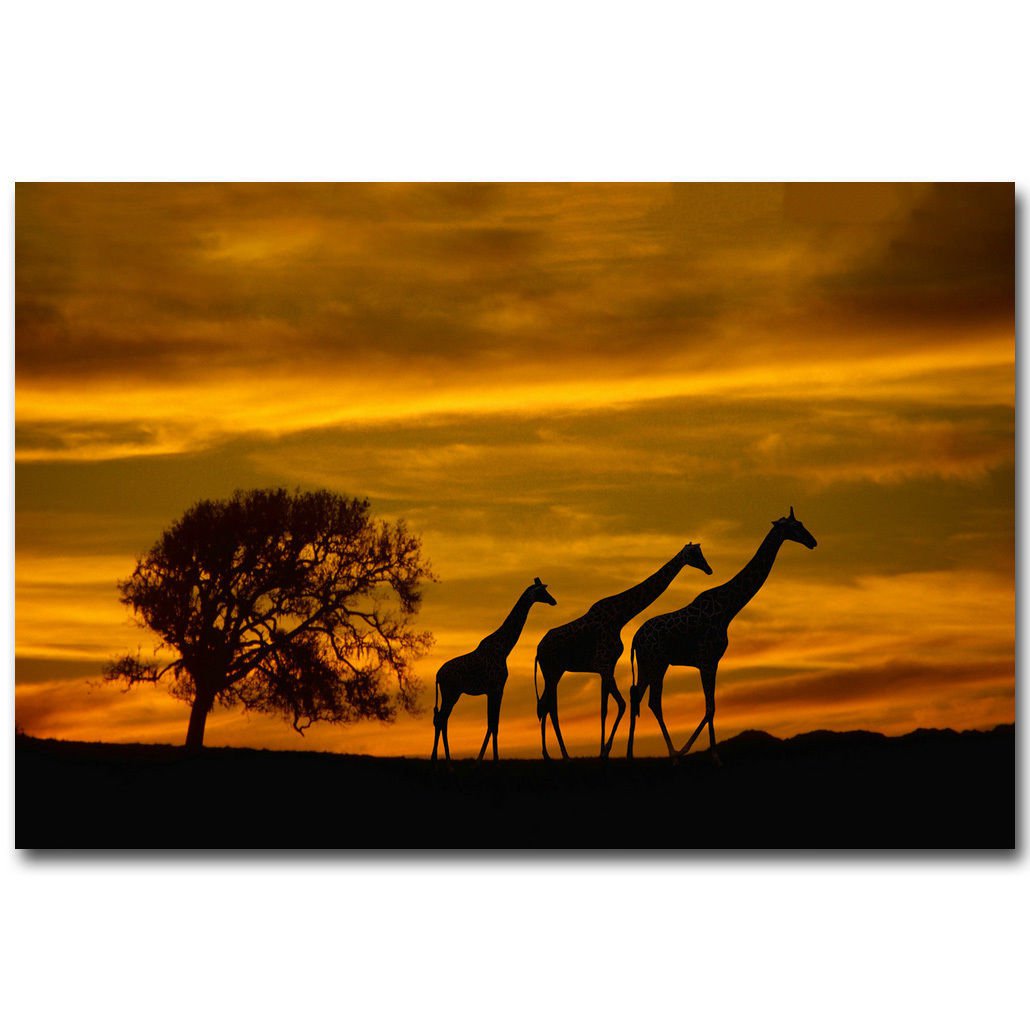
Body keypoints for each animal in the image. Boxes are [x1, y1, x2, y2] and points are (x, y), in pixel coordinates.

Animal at [431, 577, 557, 762]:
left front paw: (481, 760)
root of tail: (437, 676)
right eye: (543, 591)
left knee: (441, 719)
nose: (553, 601)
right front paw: (494, 761)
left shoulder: (492, 691)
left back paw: (442, 761)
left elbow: (492, 724)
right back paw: (443, 762)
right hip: (451, 693)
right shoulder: (497, 688)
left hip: (451, 694)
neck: (504, 648)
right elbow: (494, 725)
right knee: (441, 720)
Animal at [534, 542, 712, 759]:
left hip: (555, 672)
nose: (709, 569)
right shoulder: (604, 665)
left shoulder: (606, 667)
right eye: (694, 554)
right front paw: (604, 751)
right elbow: (615, 706)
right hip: (551, 671)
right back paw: (560, 754)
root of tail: (538, 650)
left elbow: (608, 707)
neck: (620, 617)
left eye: (701, 553)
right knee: (549, 706)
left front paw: (603, 750)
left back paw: (548, 754)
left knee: (544, 705)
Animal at [626, 508, 817, 762]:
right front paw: (709, 755)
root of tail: (635, 638)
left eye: (802, 523)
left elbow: (712, 706)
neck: (728, 609)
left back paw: (636, 755)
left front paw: (708, 753)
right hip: (656, 662)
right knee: (650, 700)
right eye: (795, 527)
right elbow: (710, 707)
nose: (813, 542)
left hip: (652, 663)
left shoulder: (714, 661)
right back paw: (670, 754)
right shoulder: (707, 660)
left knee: (640, 698)